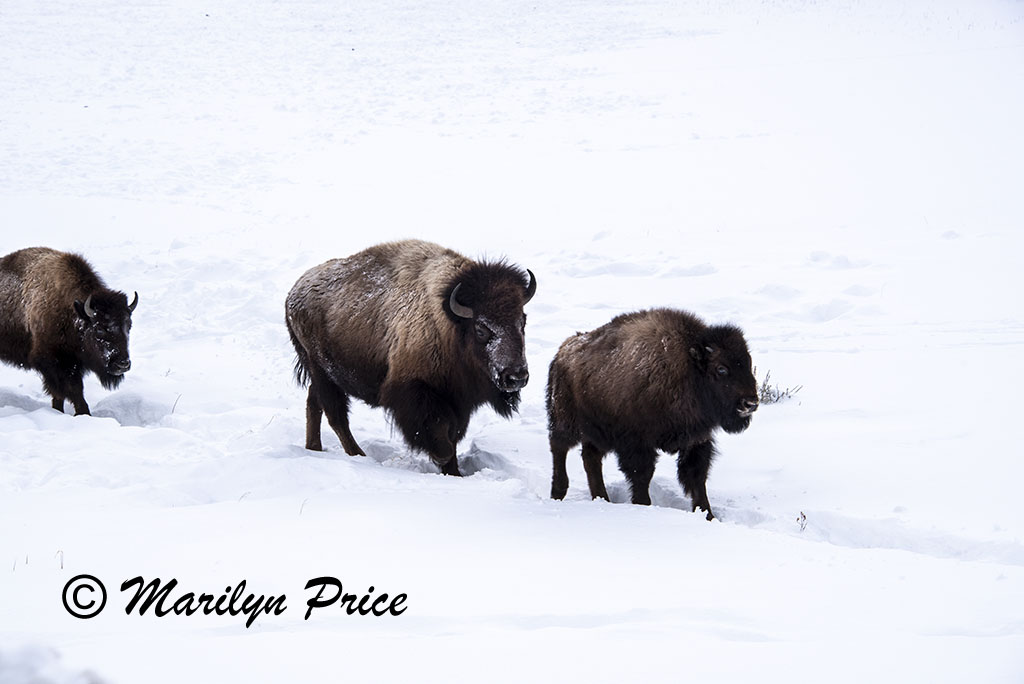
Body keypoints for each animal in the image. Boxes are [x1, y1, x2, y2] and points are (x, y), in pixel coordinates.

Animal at [0, 247, 138, 415]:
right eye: (99, 328)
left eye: (129, 326)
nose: (123, 364)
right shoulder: (53, 363)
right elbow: (73, 390)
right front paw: (83, 414)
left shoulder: (72, 364)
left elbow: (62, 394)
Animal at [285, 239, 536, 475]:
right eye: (482, 329)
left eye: (522, 321)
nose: (516, 377)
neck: (449, 323)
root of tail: (293, 293)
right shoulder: (415, 392)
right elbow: (440, 436)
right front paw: (443, 461)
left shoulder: (458, 401)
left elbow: (452, 436)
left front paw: (453, 472)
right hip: (321, 371)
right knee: (335, 415)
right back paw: (357, 455)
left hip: (321, 374)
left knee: (314, 403)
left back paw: (314, 448)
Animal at [547, 308, 758, 519]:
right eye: (721, 369)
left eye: (748, 364)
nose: (750, 403)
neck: (688, 368)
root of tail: (562, 352)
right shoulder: (637, 444)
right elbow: (642, 476)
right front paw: (643, 505)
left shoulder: (696, 441)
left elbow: (696, 478)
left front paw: (708, 515)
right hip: (566, 422)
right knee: (559, 448)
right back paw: (558, 492)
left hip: (597, 433)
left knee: (590, 458)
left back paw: (602, 498)